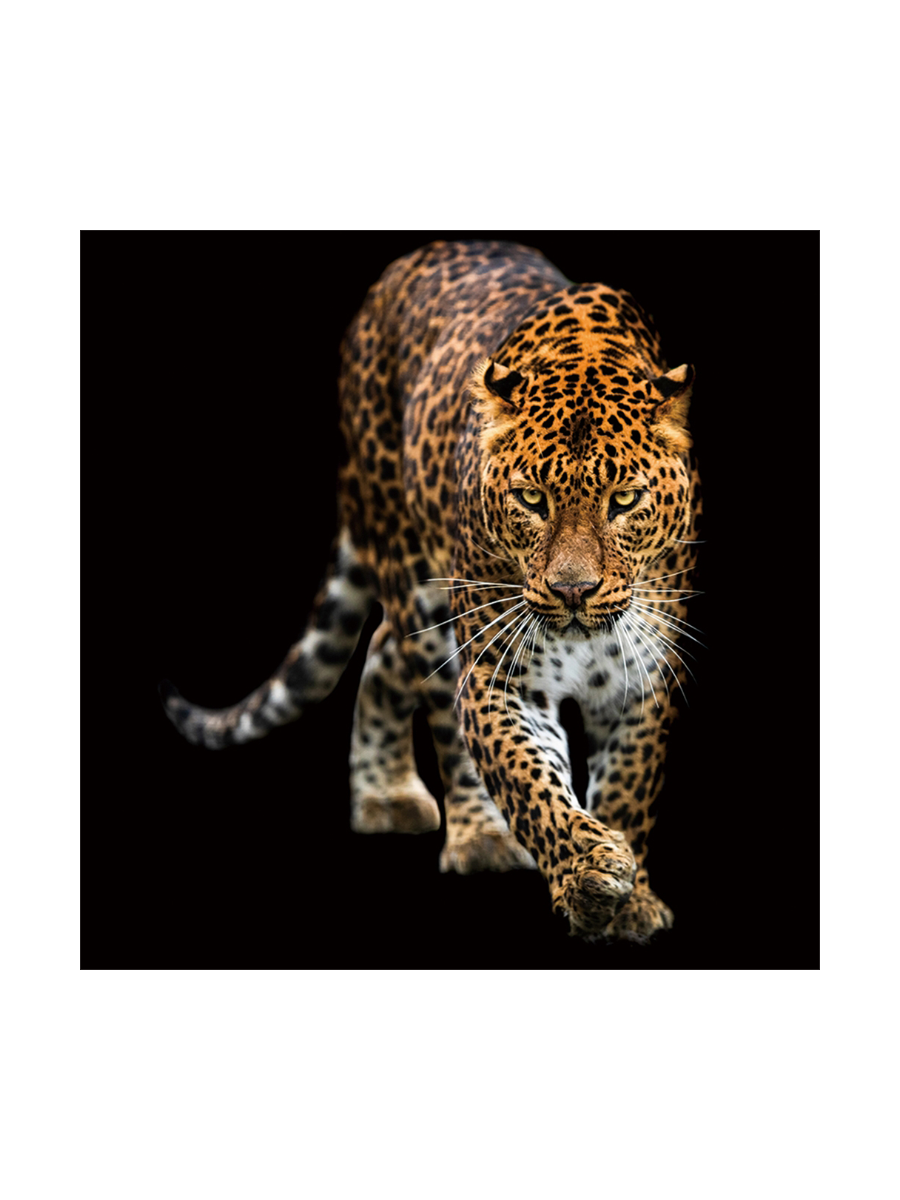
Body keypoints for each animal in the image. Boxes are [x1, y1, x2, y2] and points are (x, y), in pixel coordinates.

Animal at [160, 240, 702, 942]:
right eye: (532, 499)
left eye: (626, 500)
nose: (573, 591)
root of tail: (417, 256)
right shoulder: (500, 676)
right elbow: (529, 779)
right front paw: (587, 872)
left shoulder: (644, 678)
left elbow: (630, 785)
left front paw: (630, 900)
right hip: (419, 579)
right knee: (436, 704)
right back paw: (477, 836)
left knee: (383, 649)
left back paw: (384, 795)